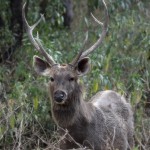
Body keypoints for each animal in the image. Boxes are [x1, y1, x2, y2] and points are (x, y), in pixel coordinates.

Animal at [22, 0, 134, 149]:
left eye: (72, 78)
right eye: (51, 78)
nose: (59, 95)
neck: (77, 137)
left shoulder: (99, 145)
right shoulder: (61, 145)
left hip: (130, 139)